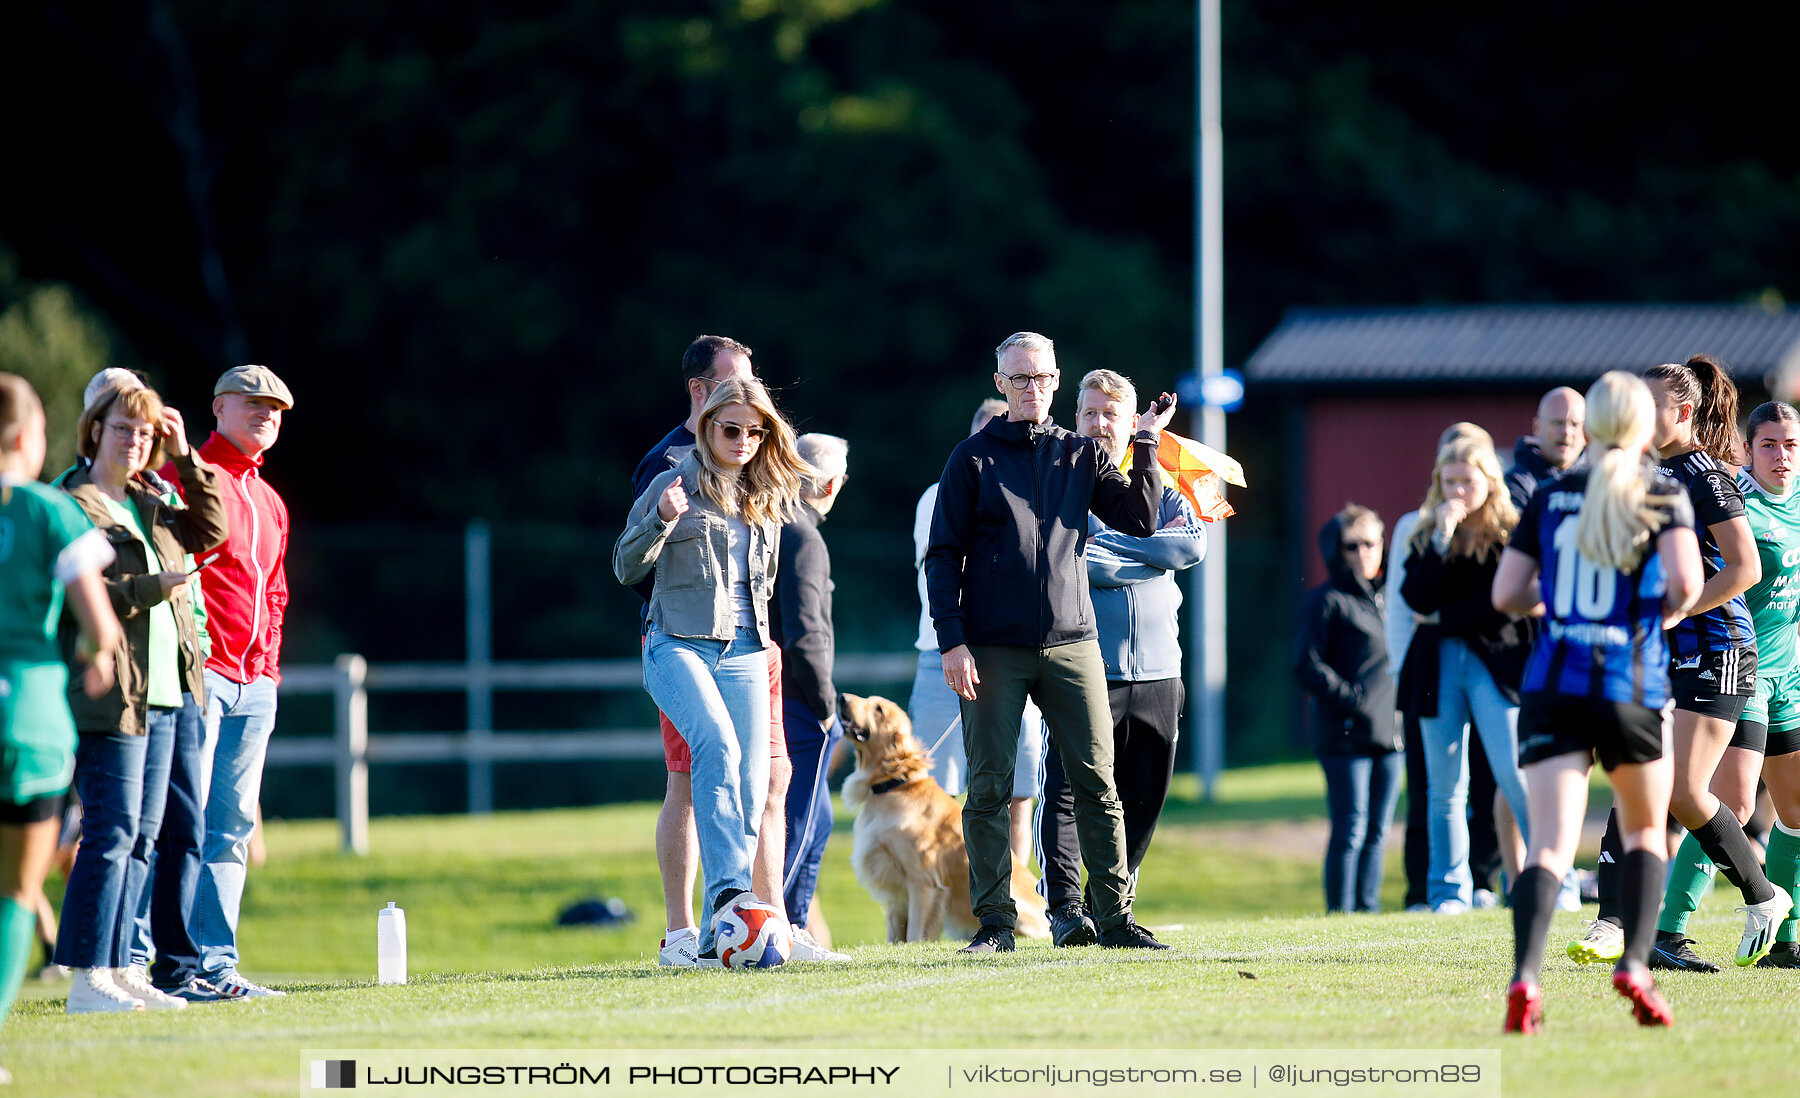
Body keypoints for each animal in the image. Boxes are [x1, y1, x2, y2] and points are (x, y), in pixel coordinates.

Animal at [835, 691, 1051, 943]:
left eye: (878, 709)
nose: (841, 698)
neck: (894, 786)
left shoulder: (924, 882)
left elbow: (915, 932)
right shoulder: (896, 890)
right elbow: (895, 933)